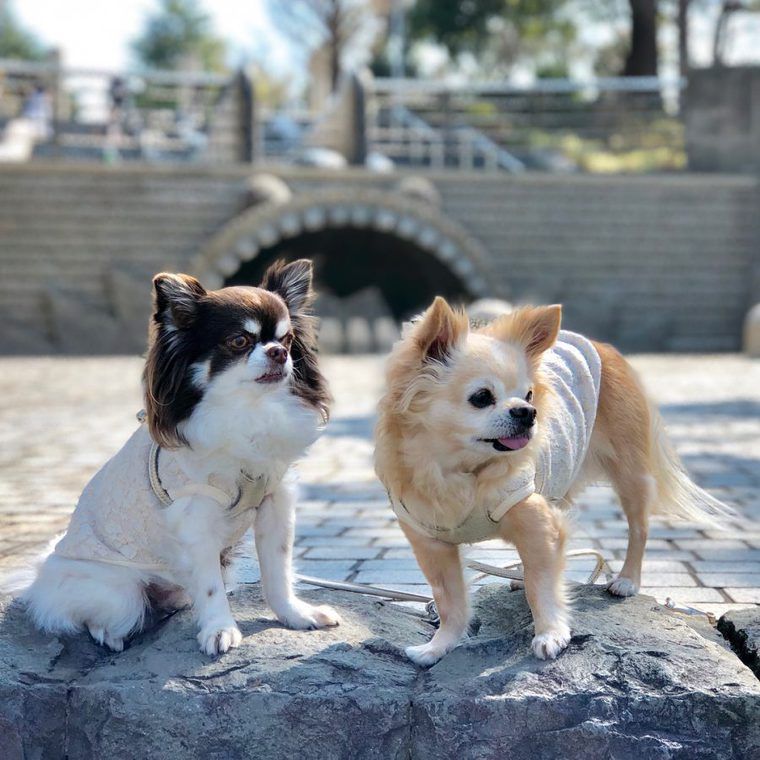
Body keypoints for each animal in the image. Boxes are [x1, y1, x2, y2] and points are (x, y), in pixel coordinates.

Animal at [19, 260, 340, 652]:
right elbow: (210, 585)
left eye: (288, 341)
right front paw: (219, 629)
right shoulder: (196, 516)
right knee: (95, 613)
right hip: (118, 592)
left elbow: (277, 571)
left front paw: (295, 615)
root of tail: (43, 572)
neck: (247, 411)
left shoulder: (274, 502)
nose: (278, 352)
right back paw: (110, 635)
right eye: (239, 341)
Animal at [376, 296, 732, 664]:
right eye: (481, 397)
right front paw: (439, 646)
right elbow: (450, 602)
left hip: (630, 473)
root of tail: (601, 345)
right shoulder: (431, 543)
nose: (527, 413)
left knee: (639, 528)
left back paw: (626, 580)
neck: (463, 471)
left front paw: (550, 633)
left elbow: (543, 586)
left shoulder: (538, 522)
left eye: (529, 395)